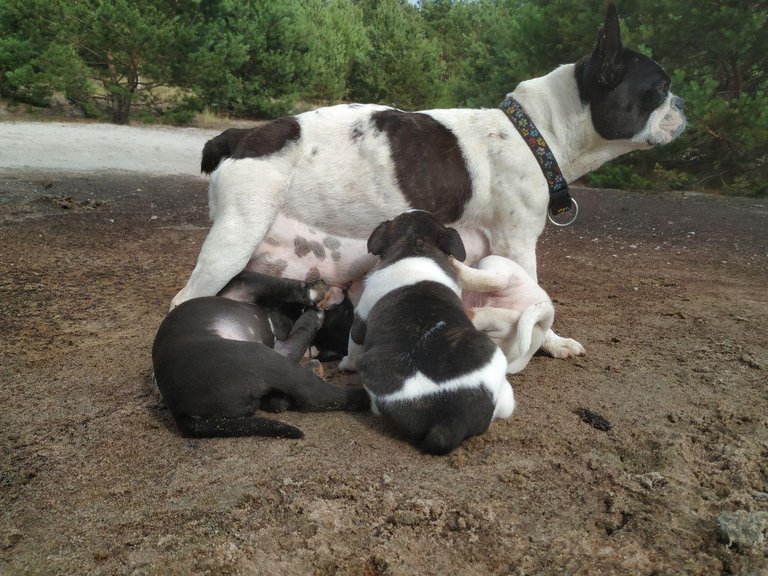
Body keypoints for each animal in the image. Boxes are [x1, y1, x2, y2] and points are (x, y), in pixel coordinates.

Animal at [152, 272, 368, 438]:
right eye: (348, 310)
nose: (343, 290)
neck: (280, 317)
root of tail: (178, 410)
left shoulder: (281, 343)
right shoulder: (245, 286)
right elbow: (277, 283)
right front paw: (314, 293)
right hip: (263, 358)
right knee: (316, 394)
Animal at [171, 2, 688, 360]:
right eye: (660, 89)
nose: (683, 104)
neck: (535, 131)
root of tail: (242, 135)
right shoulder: (518, 243)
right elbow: (537, 295)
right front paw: (552, 341)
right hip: (236, 235)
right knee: (186, 297)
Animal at [342, 212, 516, 454]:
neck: (414, 244)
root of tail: (450, 419)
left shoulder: (360, 321)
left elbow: (353, 346)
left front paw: (345, 364)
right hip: (492, 355)